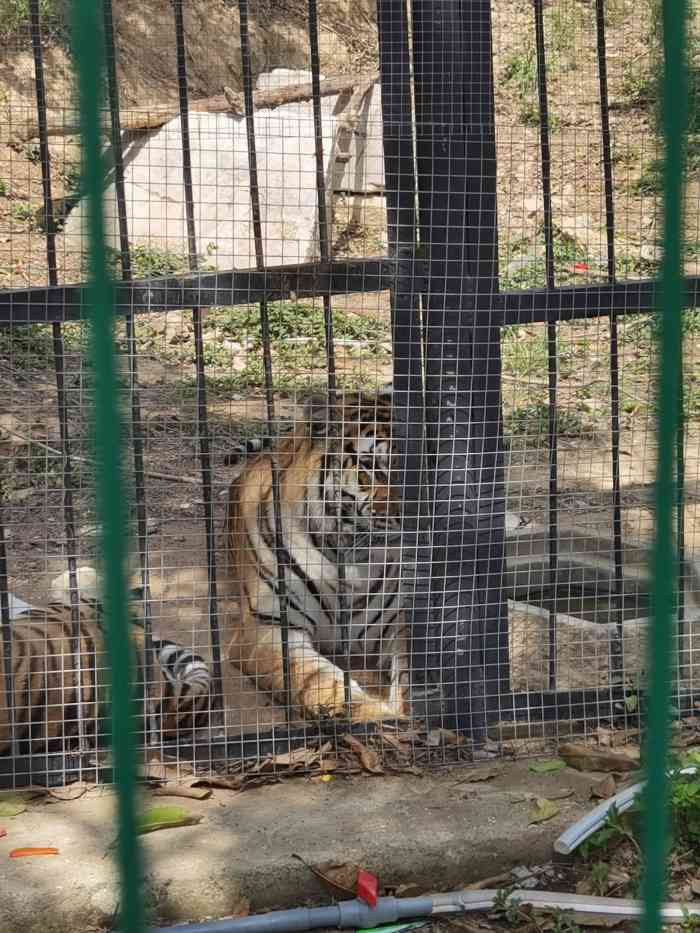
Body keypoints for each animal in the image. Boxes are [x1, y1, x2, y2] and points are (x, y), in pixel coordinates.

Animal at [224, 386, 410, 720]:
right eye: (370, 467)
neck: (349, 555)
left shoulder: (400, 622)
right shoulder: (267, 628)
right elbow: (322, 683)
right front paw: (383, 717)